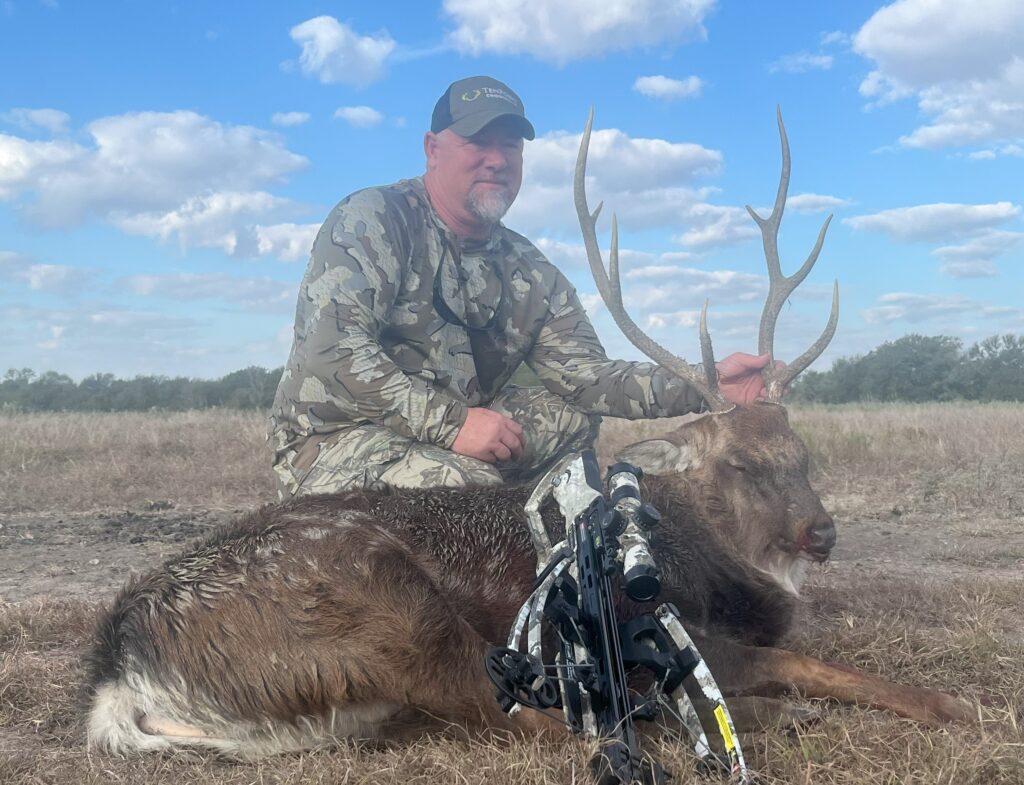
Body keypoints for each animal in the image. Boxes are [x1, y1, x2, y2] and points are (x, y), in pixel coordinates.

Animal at [84, 109, 974, 763]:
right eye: (742, 463)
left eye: (804, 453)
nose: (821, 531)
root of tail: (117, 671)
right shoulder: (668, 629)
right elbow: (803, 662)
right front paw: (953, 699)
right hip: (388, 606)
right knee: (517, 713)